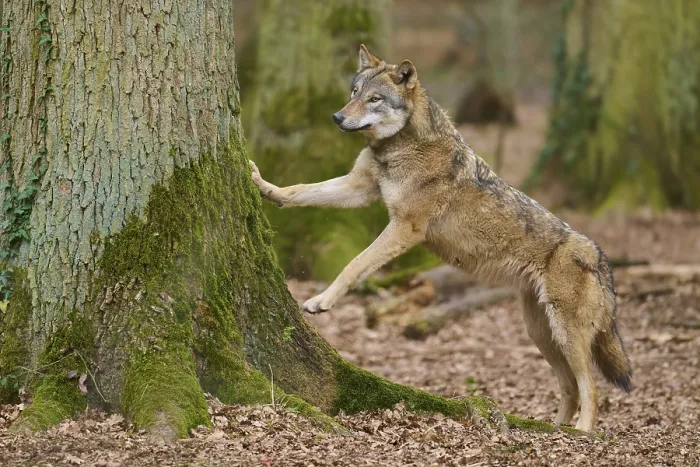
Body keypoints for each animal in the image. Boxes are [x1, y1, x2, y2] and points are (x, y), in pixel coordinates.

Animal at [249, 45, 632, 432]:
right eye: (354, 92)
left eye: (374, 99)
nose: (337, 117)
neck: (401, 148)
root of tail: (599, 255)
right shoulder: (358, 188)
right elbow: (300, 191)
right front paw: (263, 186)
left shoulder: (405, 227)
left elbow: (354, 264)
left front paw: (321, 301)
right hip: (541, 335)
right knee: (569, 388)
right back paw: (555, 430)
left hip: (565, 335)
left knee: (591, 388)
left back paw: (582, 434)